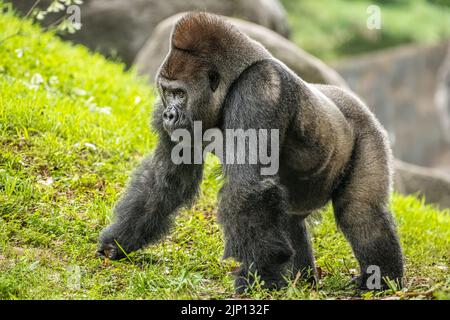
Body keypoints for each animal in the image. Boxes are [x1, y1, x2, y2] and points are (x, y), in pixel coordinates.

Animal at [98, 11, 404, 292]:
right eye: (166, 91)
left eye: (180, 94)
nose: (169, 115)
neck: (233, 79)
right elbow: (166, 179)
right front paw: (119, 241)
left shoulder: (259, 90)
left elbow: (247, 188)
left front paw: (258, 279)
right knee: (290, 218)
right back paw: (301, 281)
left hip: (368, 130)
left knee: (360, 210)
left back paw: (381, 281)